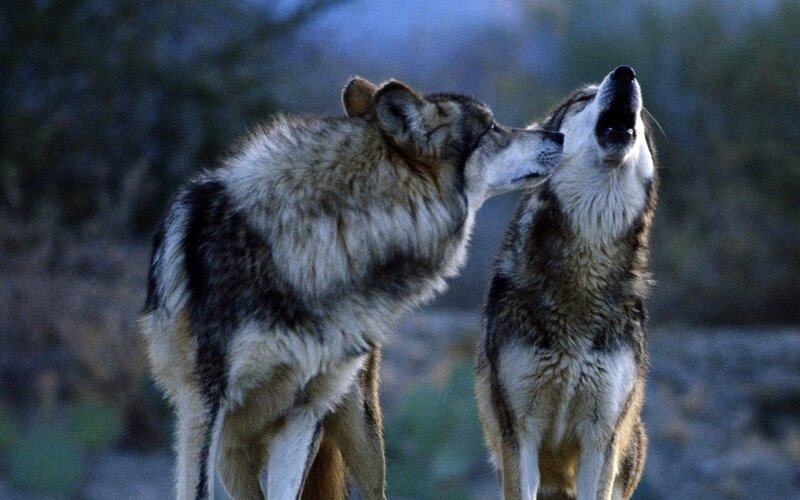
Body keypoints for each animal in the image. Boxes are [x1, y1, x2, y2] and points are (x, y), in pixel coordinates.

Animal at [140, 76, 564, 500]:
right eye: (492, 128)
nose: (557, 134)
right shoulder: (205, 405)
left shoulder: (303, 413)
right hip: (234, 449)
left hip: (360, 435)